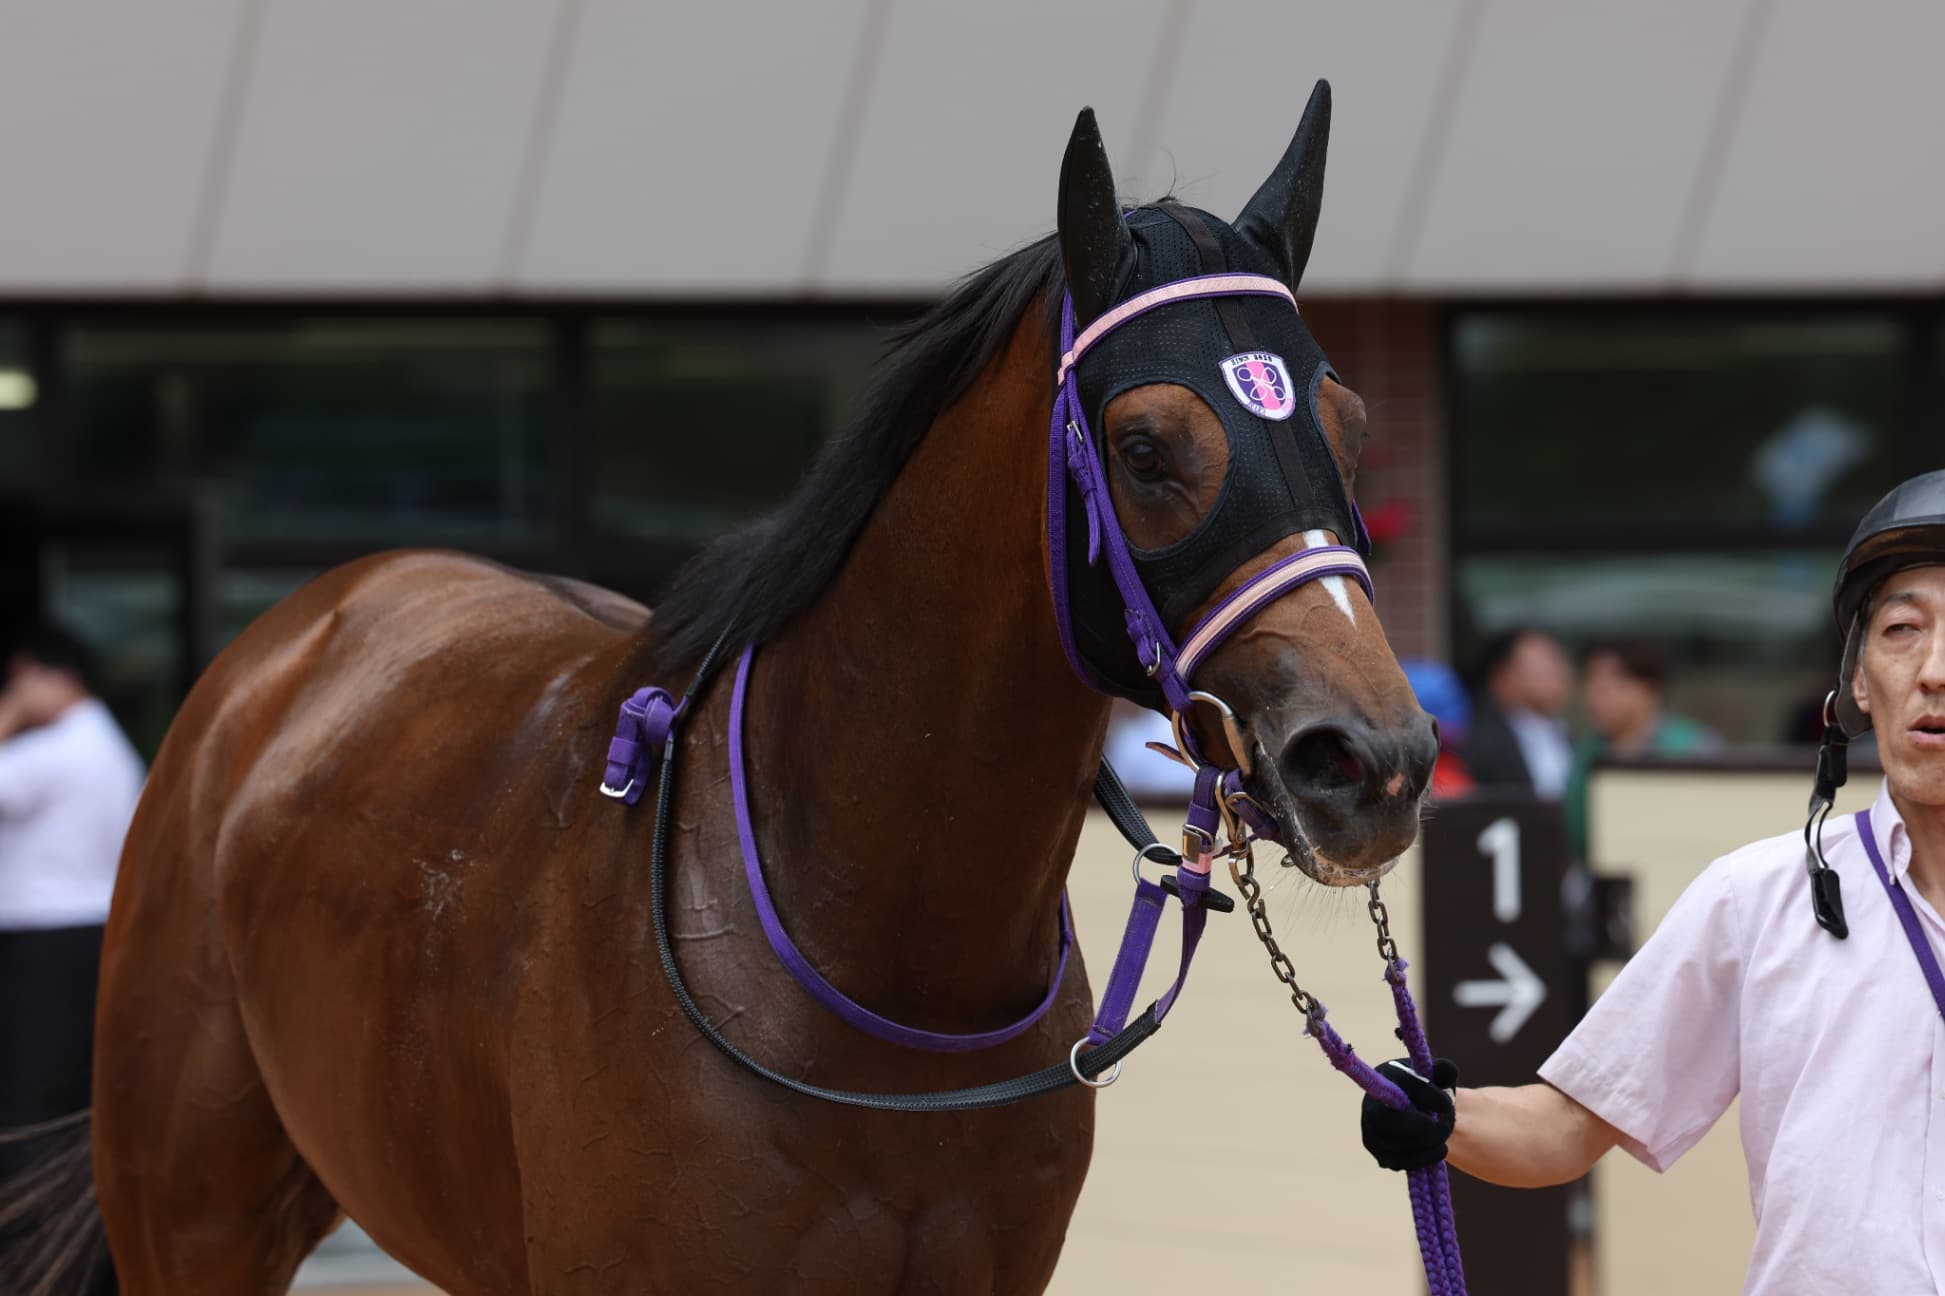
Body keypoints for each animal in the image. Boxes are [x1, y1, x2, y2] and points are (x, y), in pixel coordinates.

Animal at [0, 82, 1434, 1294]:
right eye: (1144, 446)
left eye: (1351, 424)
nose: (1367, 759)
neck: (887, 977)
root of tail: (292, 642)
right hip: (193, 1214)